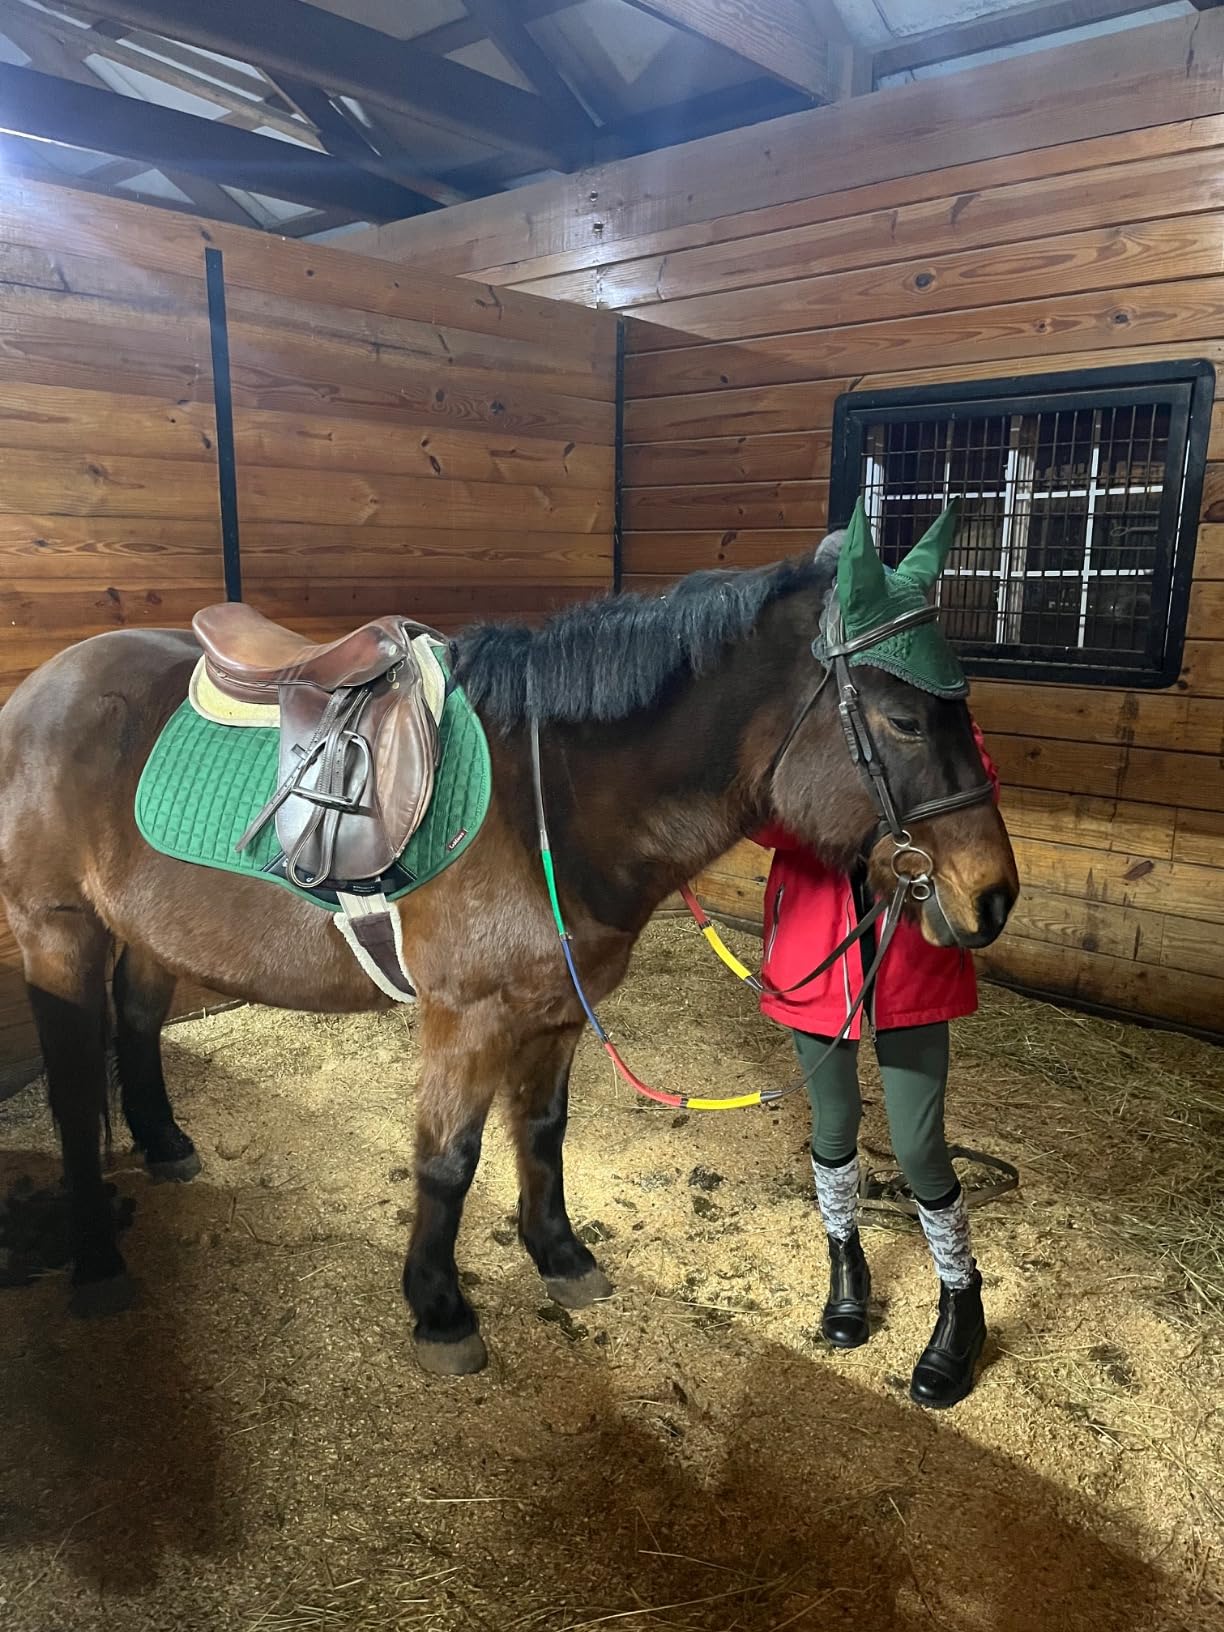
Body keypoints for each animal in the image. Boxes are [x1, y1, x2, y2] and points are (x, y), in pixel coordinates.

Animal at [0, 525, 1018, 1375]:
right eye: (902, 720)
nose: (992, 895)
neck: (554, 799)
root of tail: (42, 690)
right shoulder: (467, 1019)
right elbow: (448, 1162)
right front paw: (439, 1309)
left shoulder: (558, 1010)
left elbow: (541, 1133)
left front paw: (558, 1254)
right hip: (58, 932)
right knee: (73, 1088)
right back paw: (95, 1260)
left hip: (144, 930)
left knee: (136, 1024)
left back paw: (165, 1145)